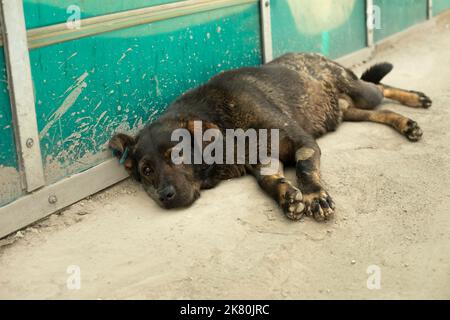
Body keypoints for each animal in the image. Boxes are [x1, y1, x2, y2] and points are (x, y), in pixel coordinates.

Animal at [110, 53, 432, 222]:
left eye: (177, 155)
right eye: (146, 171)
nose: (164, 196)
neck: (224, 126)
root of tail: (316, 55)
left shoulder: (304, 144)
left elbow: (304, 170)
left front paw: (314, 195)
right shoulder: (265, 161)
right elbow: (267, 182)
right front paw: (286, 196)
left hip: (361, 93)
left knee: (380, 87)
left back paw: (416, 99)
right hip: (350, 112)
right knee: (380, 112)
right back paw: (404, 122)